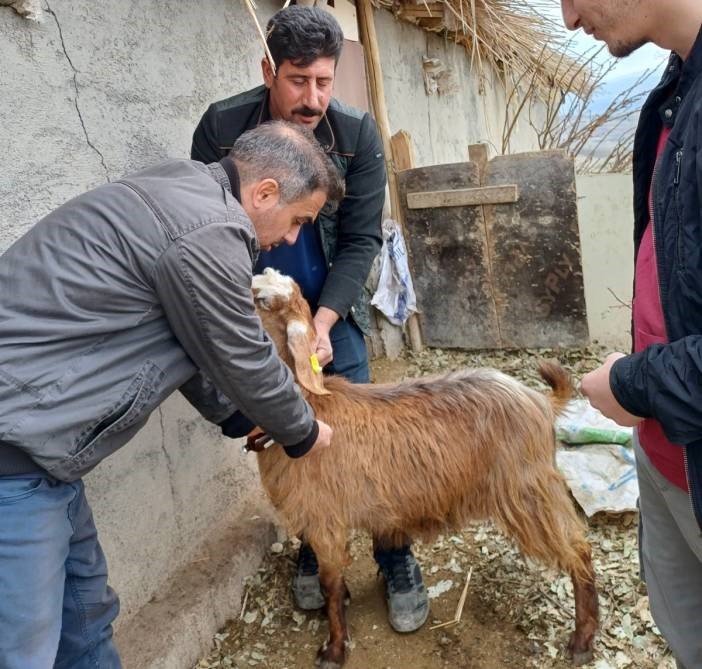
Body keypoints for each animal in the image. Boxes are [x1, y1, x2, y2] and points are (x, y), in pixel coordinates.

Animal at [253, 268, 600, 668]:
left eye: (263, 300)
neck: (311, 410)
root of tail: (540, 401)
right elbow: (334, 581)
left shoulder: (325, 521)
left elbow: (330, 585)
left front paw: (334, 649)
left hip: (527, 491)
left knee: (578, 550)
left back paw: (582, 640)